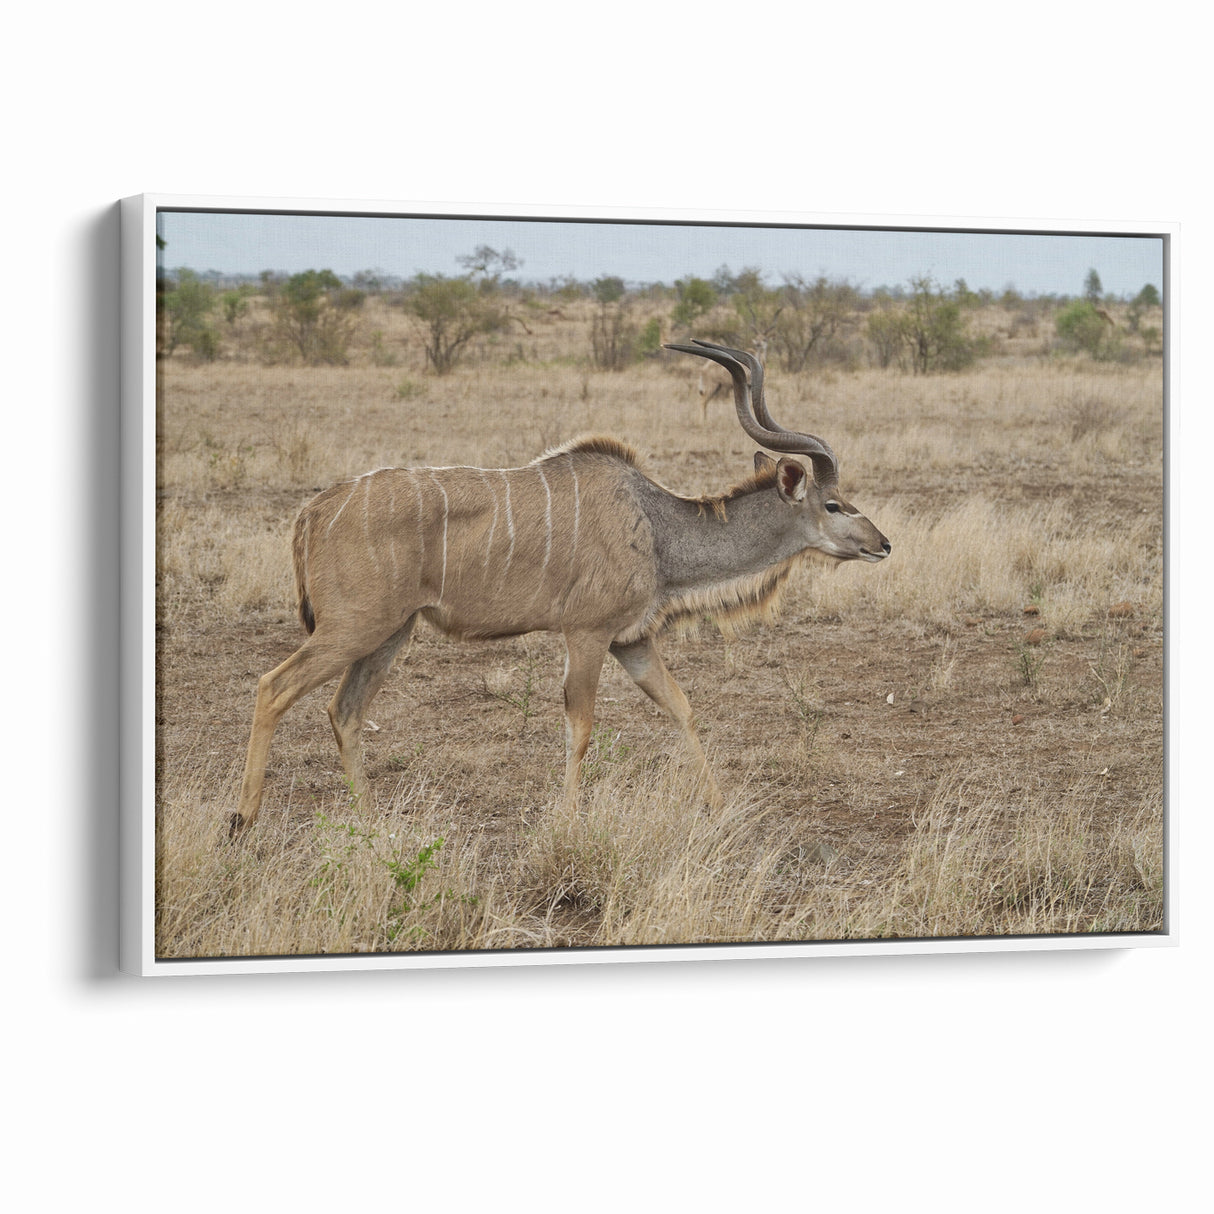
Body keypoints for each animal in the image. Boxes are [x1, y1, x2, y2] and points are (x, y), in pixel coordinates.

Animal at [232, 341, 890, 833]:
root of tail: (314, 510)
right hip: (354, 627)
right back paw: (243, 820)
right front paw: (569, 821)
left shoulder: (632, 641)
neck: (656, 526)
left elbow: (681, 707)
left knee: (343, 711)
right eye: (834, 504)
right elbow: (581, 726)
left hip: (391, 632)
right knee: (274, 687)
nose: (882, 544)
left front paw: (721, 807)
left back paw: (372, 825)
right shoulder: (587, 634)